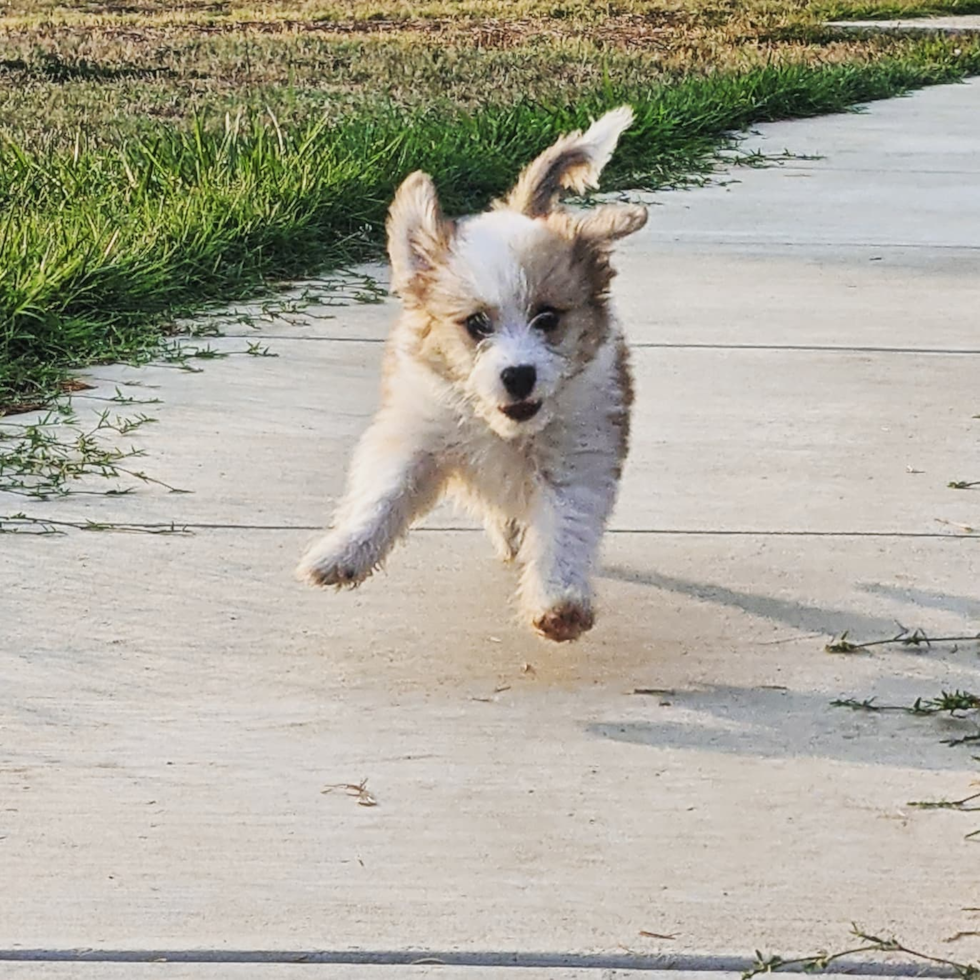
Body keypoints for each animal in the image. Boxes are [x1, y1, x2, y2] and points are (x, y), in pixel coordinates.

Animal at [298, 107, 652, 644]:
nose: (519, 375)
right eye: (477, 324)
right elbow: (384, 492)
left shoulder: (578, 456)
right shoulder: (417, 429)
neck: (504, 430)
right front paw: (343, 552)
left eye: (548, 318)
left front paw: (558, 602)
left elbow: (565, 527)